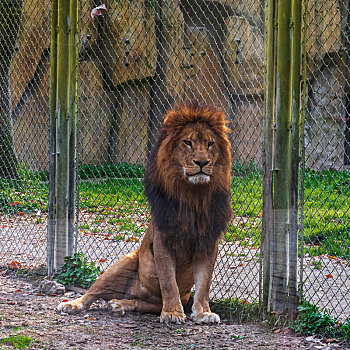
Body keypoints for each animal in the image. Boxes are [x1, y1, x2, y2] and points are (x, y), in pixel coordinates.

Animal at [58, 102, 232, 326]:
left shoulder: (208, 242)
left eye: (210, 144)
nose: (202, 162)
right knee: (91, 293)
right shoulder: (163, 240)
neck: (194, 196)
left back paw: (120, 304)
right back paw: (72, 305)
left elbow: (204, 283)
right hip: (121, 265)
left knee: (139, 303)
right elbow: (168, 280)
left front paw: (203, 313)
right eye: (188, 142)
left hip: (148, 300)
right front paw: (172, 312)